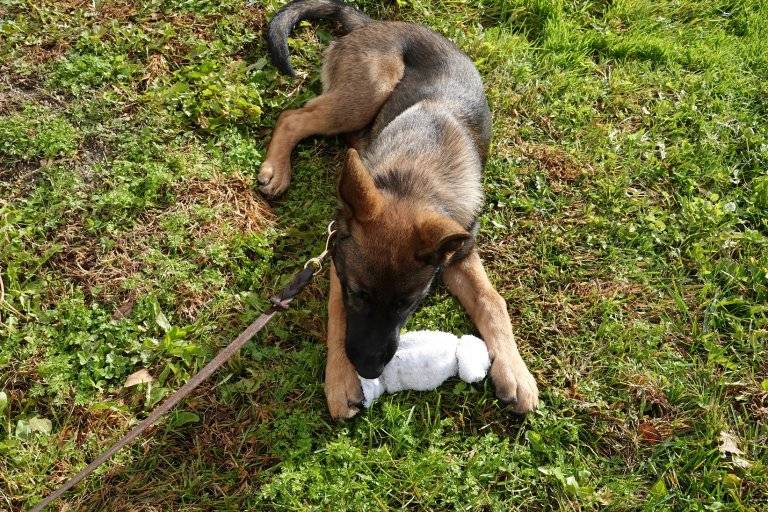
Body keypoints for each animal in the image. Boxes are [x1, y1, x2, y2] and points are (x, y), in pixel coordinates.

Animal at [260, 0, 539, 420]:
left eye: (408, 304)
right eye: (358, 294)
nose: (368, 369)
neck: (413, 177)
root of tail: (374, 23)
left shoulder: (458, 253)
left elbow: (493, 302)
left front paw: (516, 372)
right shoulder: (340, 263)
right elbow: (336, 314)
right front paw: (339, 382)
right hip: (366, 94)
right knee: (293, 116)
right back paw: (276, 168)